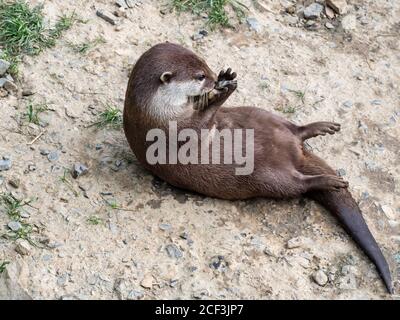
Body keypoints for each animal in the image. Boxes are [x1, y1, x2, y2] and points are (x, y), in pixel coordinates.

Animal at [123, 43, 392, 296]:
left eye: (205, 63)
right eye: (199, 76)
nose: (214, 77)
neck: (155, 111)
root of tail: (294, 152)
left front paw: (226, 78)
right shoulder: (168, 132)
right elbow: (201, 122)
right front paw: (223, 91)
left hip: (259, 114)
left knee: (294, 128)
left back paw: (318, 127)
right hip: (267, 177)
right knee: (297, 184)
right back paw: (330, 181)